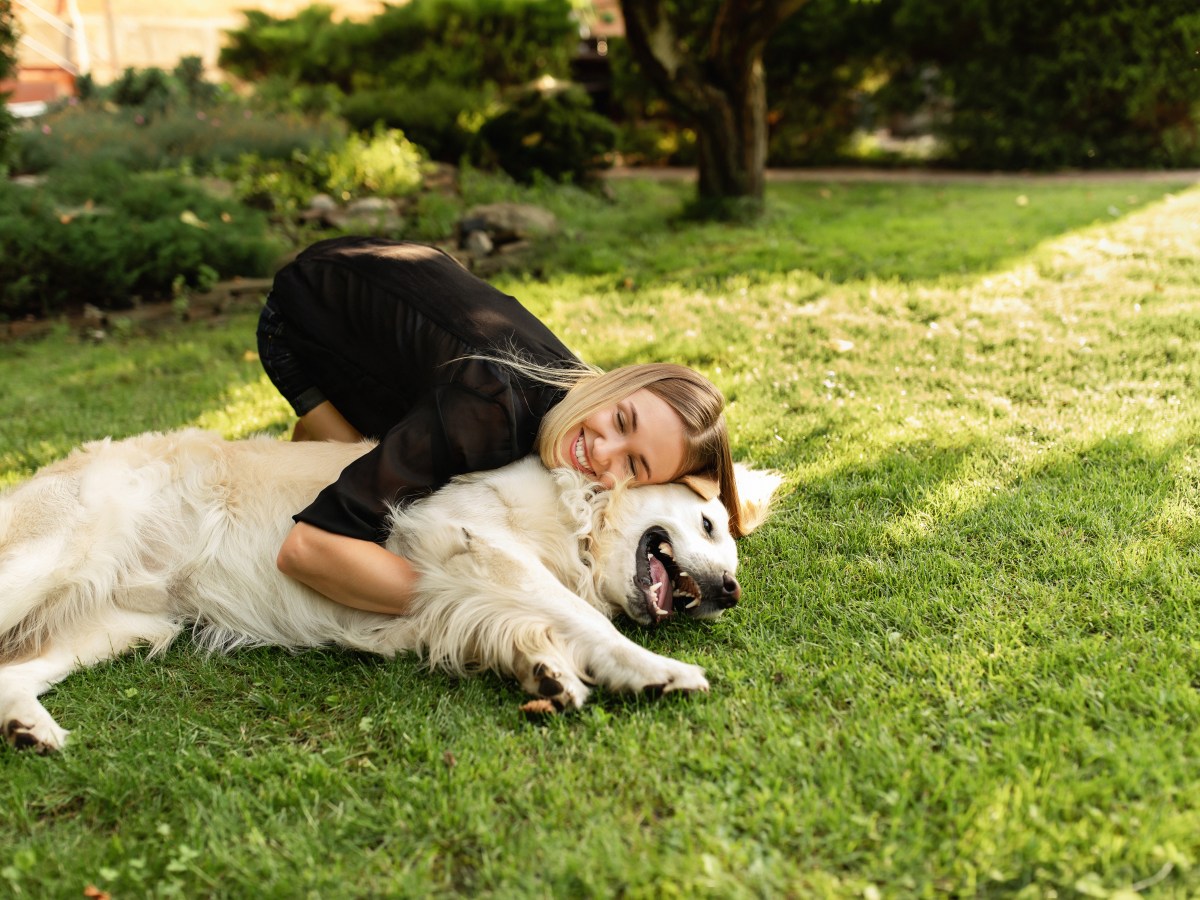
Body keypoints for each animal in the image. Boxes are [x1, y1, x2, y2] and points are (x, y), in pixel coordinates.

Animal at [0, 432, 777, 753]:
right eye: (708, 523)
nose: (731, 591)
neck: (576, 518)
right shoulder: (458, 533)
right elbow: (581, 613)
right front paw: (653, 671)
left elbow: (525, 619)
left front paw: (544, 669)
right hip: (54, 556)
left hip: (128, 624)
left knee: (10, 674)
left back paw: (29, 729)